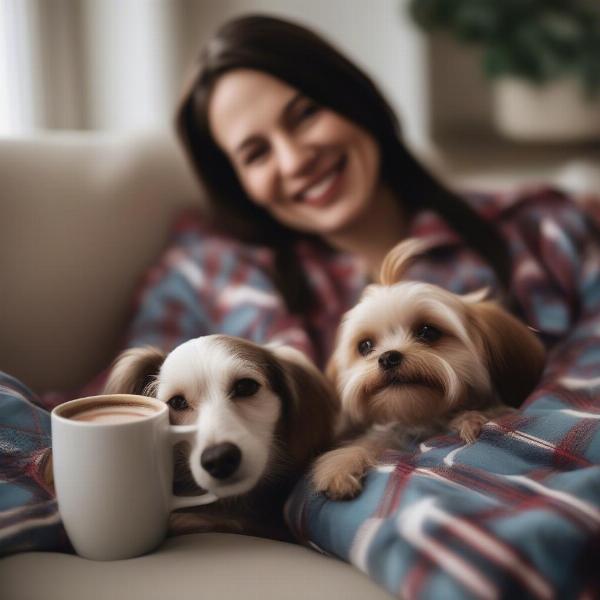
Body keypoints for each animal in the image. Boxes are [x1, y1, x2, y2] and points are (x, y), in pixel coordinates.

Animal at [312, 237, 548, 500]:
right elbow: (371, 440)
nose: (387, 357)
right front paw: (341, 464)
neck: (424, 418)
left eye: (427, 332)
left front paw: (471, 419)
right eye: (365, 346)